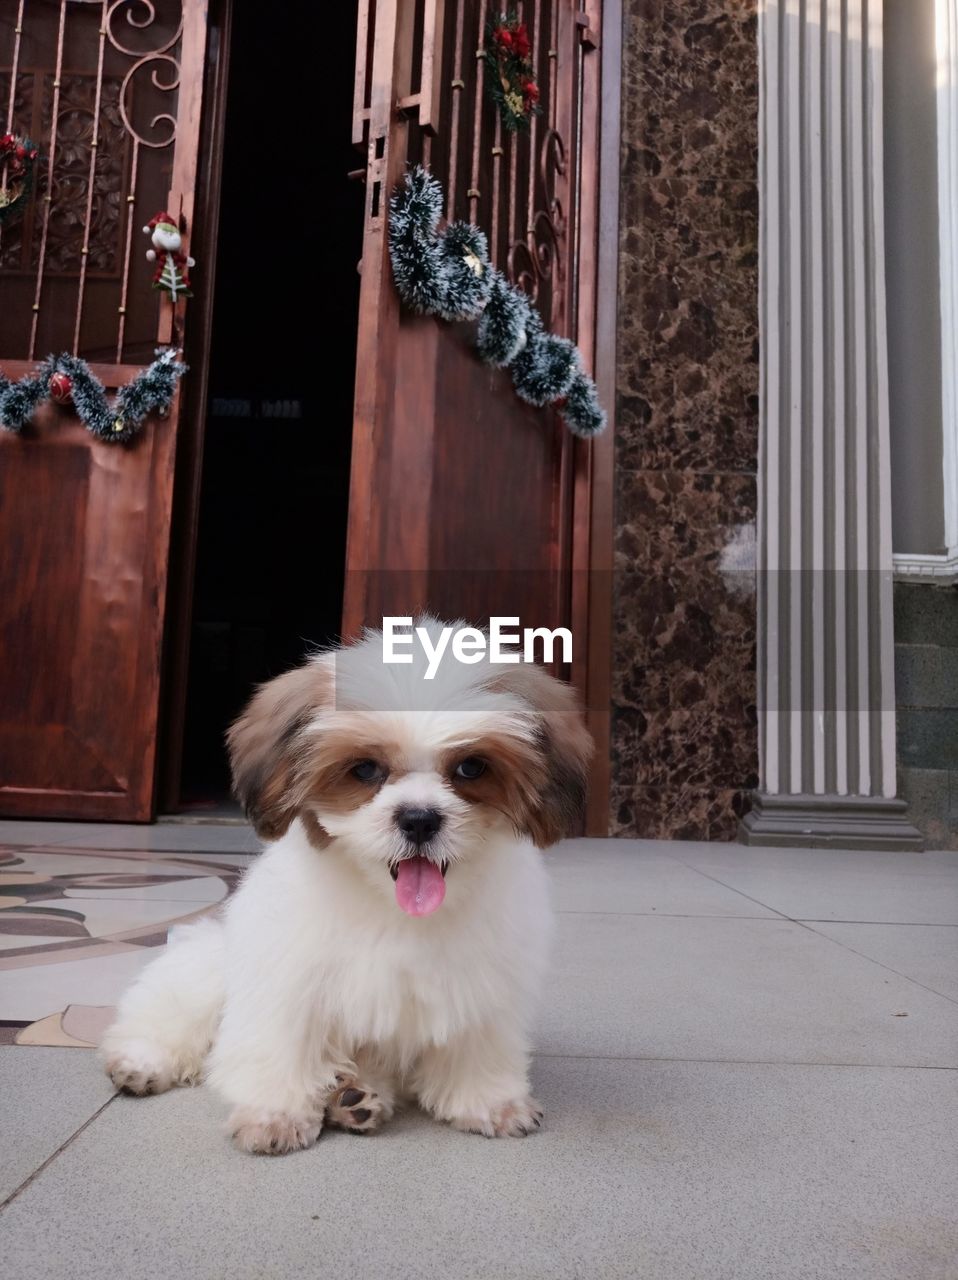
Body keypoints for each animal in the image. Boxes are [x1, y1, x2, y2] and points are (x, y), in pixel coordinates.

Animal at [99, 619, 591, 1152]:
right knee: (171, 1013)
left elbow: (476, 1041)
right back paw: (142, 1061)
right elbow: (283, 1041)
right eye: (366, 770)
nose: (420, 819)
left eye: (472, 768)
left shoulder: (483, 982)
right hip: (207, 967)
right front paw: (274, 1114)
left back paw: (355, 1098)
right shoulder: (288, 976)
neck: (390, 906)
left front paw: (488, 1101)